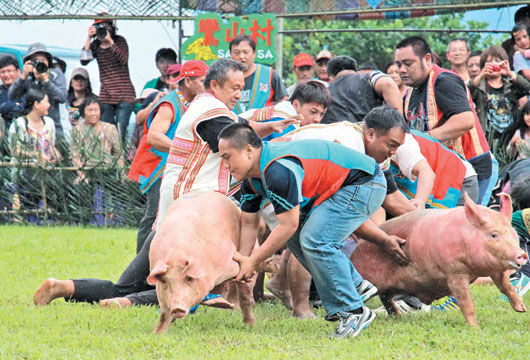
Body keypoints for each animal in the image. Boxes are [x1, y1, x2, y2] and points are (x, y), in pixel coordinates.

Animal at [146, 193, 270, 334]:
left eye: (189, 278)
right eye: (165, 281)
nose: (177, 308)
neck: (176, 252)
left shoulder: (229, 260)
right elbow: (164, 315)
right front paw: (156, 333)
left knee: (246, 298)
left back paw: (250, 325)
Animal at [348, 194, 524, 326]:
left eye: (514, 234)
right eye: (493, 235)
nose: (522, 254)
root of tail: (356, 249)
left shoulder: (495, 268)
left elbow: (505, 286)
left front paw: (522, 309)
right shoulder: (454, 273)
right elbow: (466, 303)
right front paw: (475, 329)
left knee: (386, 297)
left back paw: (399, 316)